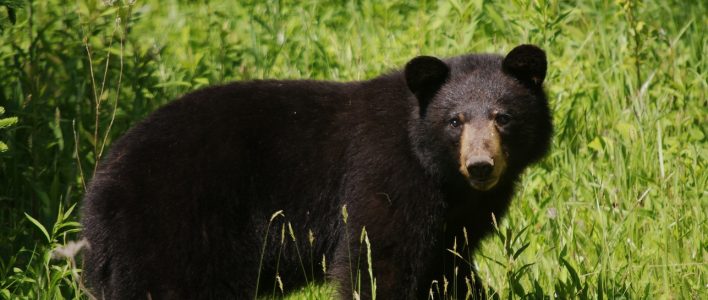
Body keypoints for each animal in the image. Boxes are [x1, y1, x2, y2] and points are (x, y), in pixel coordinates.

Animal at [80, 45, 552, 300]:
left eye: (503, 117)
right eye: (455, 120)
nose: (480, 166)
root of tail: (97, 193)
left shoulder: (454, 220)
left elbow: (449, 269)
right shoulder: (385, 174)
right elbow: (376, 258)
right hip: (174, 229)